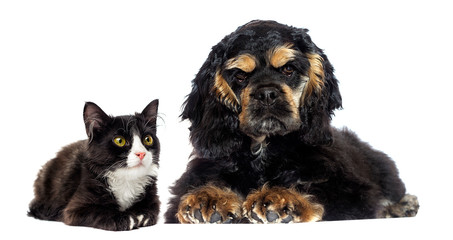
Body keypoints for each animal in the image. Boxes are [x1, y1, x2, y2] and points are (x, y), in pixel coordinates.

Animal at [27, 99, 160, 231]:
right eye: (119, 141)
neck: (126, 180)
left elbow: (150, 211)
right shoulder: (74, 210)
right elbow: (101, 211)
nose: (141, 153)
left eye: (148, 139)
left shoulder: (153, 202)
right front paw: (126, 217)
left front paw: (140, 214)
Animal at [164, 20, 418, 223]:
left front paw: (280, 198)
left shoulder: (351, 191)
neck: (263, 148)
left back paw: (403, 206)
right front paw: (209, 198)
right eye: (240, 76)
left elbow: (317, 191)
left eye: (288, 69)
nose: (267, 94)